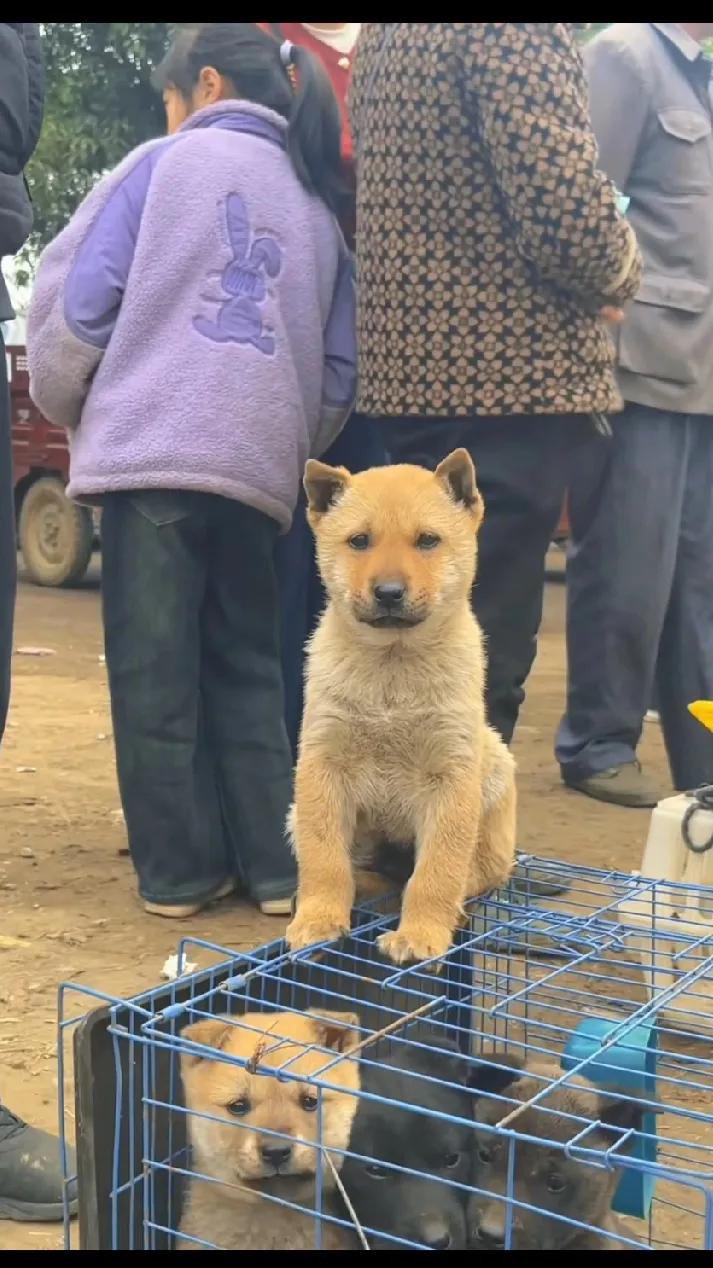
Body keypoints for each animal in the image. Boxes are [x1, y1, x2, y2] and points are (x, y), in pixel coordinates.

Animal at [285, 451, 512, 963]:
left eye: (427, 540)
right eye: (359, 541)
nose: (388, 592)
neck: (392, 671)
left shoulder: (451, 776)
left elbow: (436, 872)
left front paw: (421, 934)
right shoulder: (322, 766)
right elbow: (324, 859)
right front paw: (317, 920)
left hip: (495, 770)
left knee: (477, 874)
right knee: (367, 873)